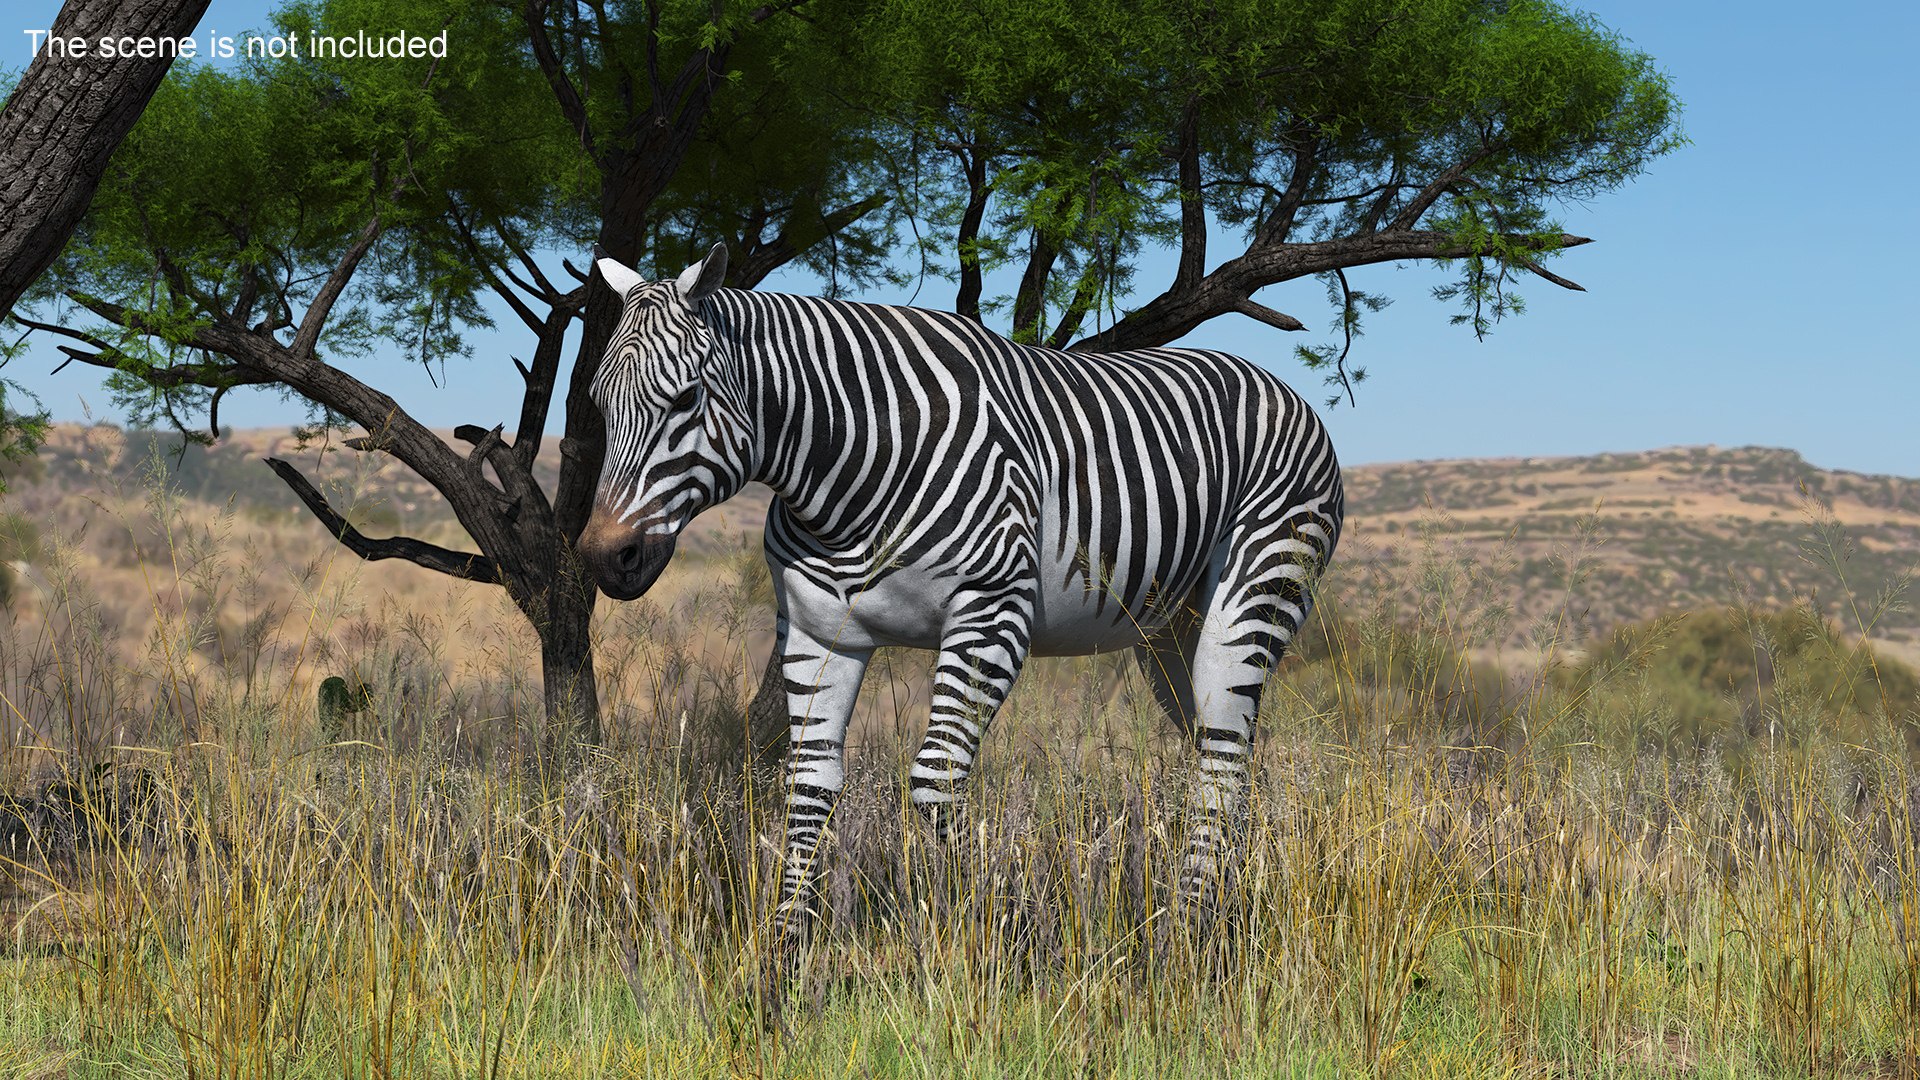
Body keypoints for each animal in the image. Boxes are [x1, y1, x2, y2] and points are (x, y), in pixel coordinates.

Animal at [578, 243, 1343, 955]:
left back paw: (1190, 935)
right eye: (597, 403)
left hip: (1253, 592)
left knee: (1223, 762)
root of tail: (1277, 383)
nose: (603, 559)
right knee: (1223, 754)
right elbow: (808, 786)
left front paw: (990, 941)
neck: (848, 474)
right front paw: (784, 958)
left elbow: (934, 782)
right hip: (1173, 635)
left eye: (684, 400)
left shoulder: (990, 616)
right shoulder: (818, 635)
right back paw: (1221, 916)